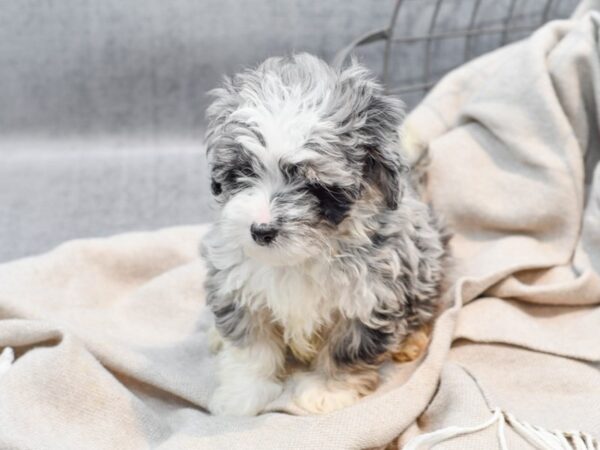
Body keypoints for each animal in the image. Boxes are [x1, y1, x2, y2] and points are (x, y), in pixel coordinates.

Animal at [200, 54, 446, 416]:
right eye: (243, 171)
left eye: (316, 187)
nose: (261, 230)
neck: (304, 256)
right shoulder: (239, 287)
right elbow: (252, 348)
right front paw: (242, 394)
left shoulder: (368, 300)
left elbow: (345, 350)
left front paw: (329, 391)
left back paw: (411, 341)